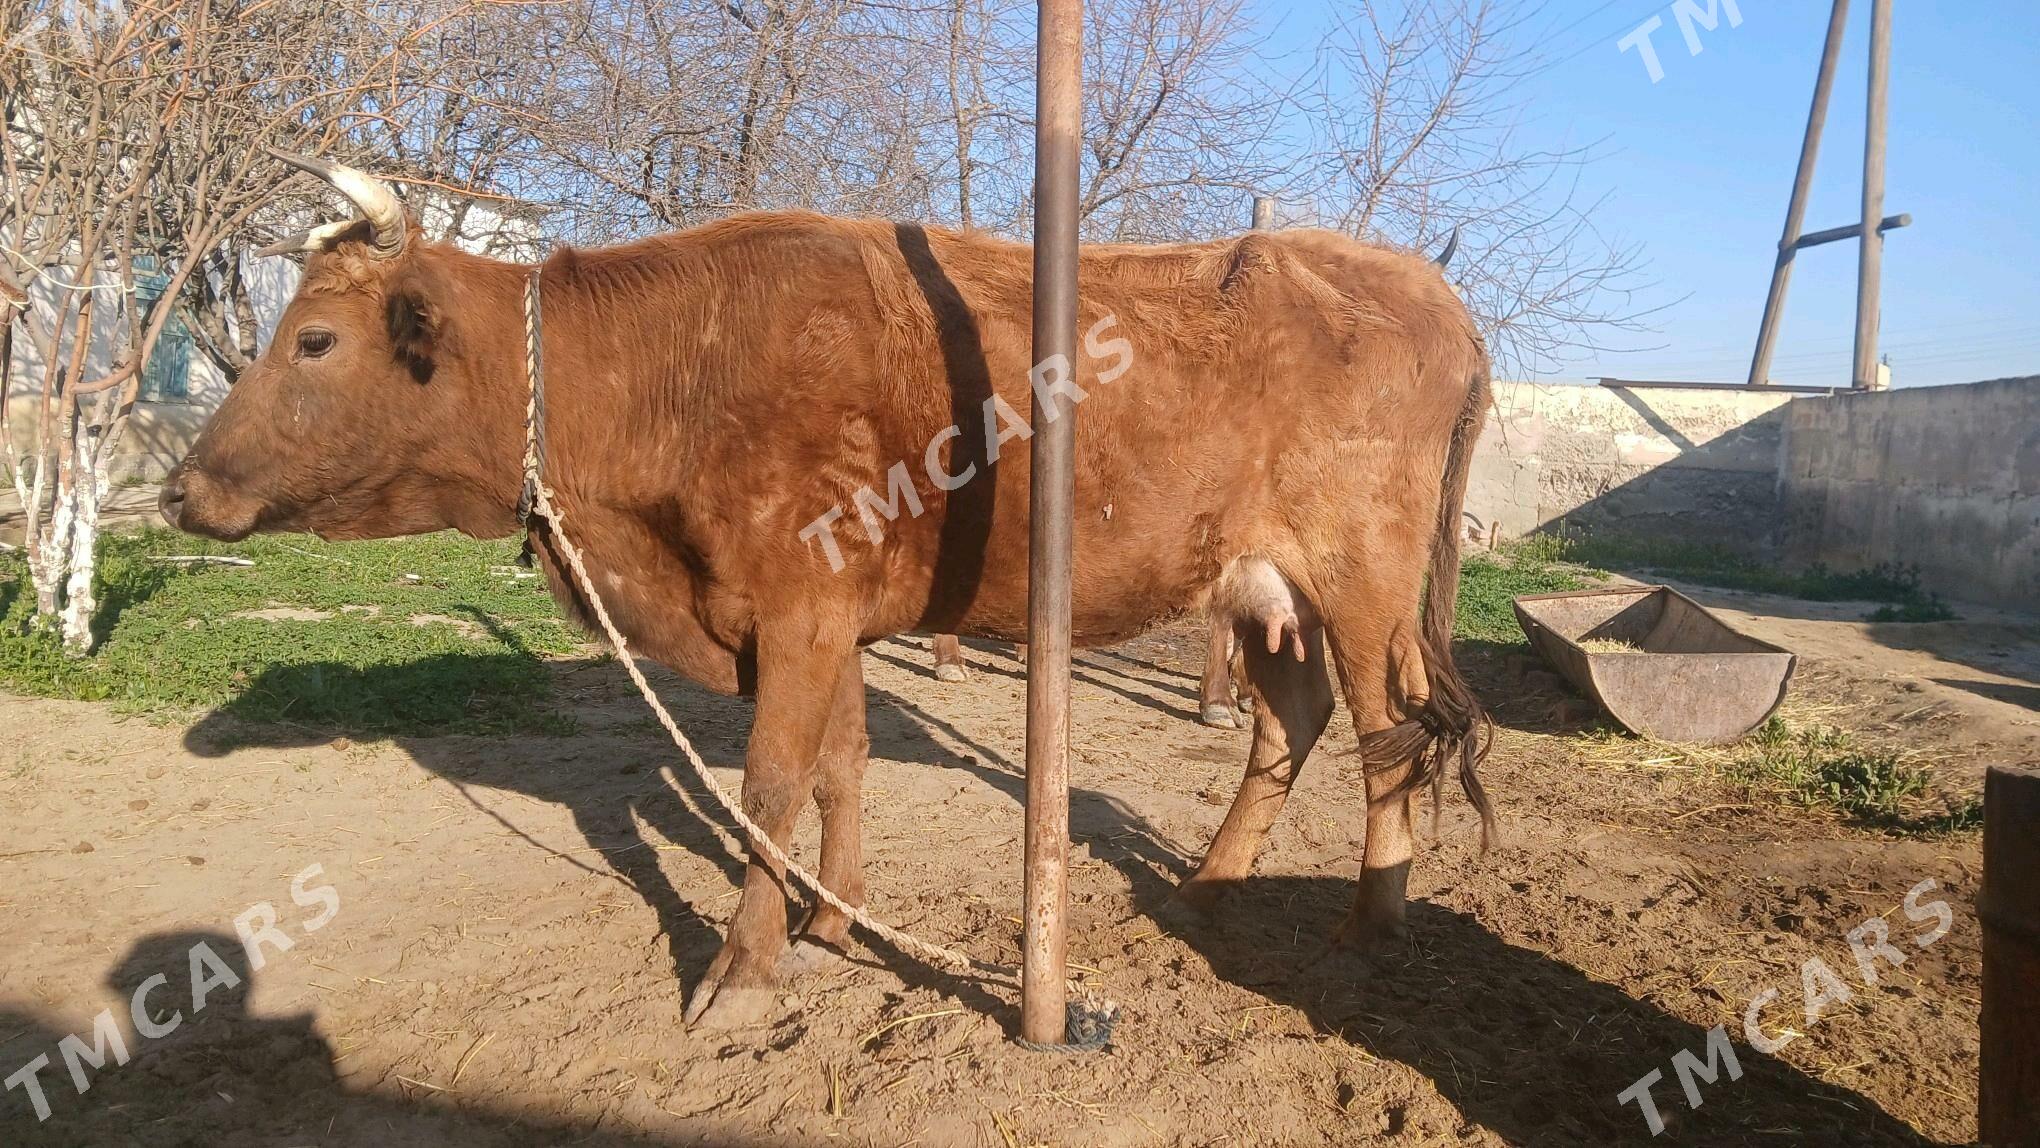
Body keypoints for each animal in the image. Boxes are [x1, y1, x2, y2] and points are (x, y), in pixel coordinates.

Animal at [159, 154, 1493, 1031]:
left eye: (316, 340)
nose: (179, 488)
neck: (669, 375)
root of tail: (1415, 284)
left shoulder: (798, 614)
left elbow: (769, 786)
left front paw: (740, 967)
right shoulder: (824, 621)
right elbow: (841, 768)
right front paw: (835, 926)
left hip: (1363, 581)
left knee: (1389, 733)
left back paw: (1371, 923)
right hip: (1265, 590)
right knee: (1294, 721)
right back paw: (1211, 886)